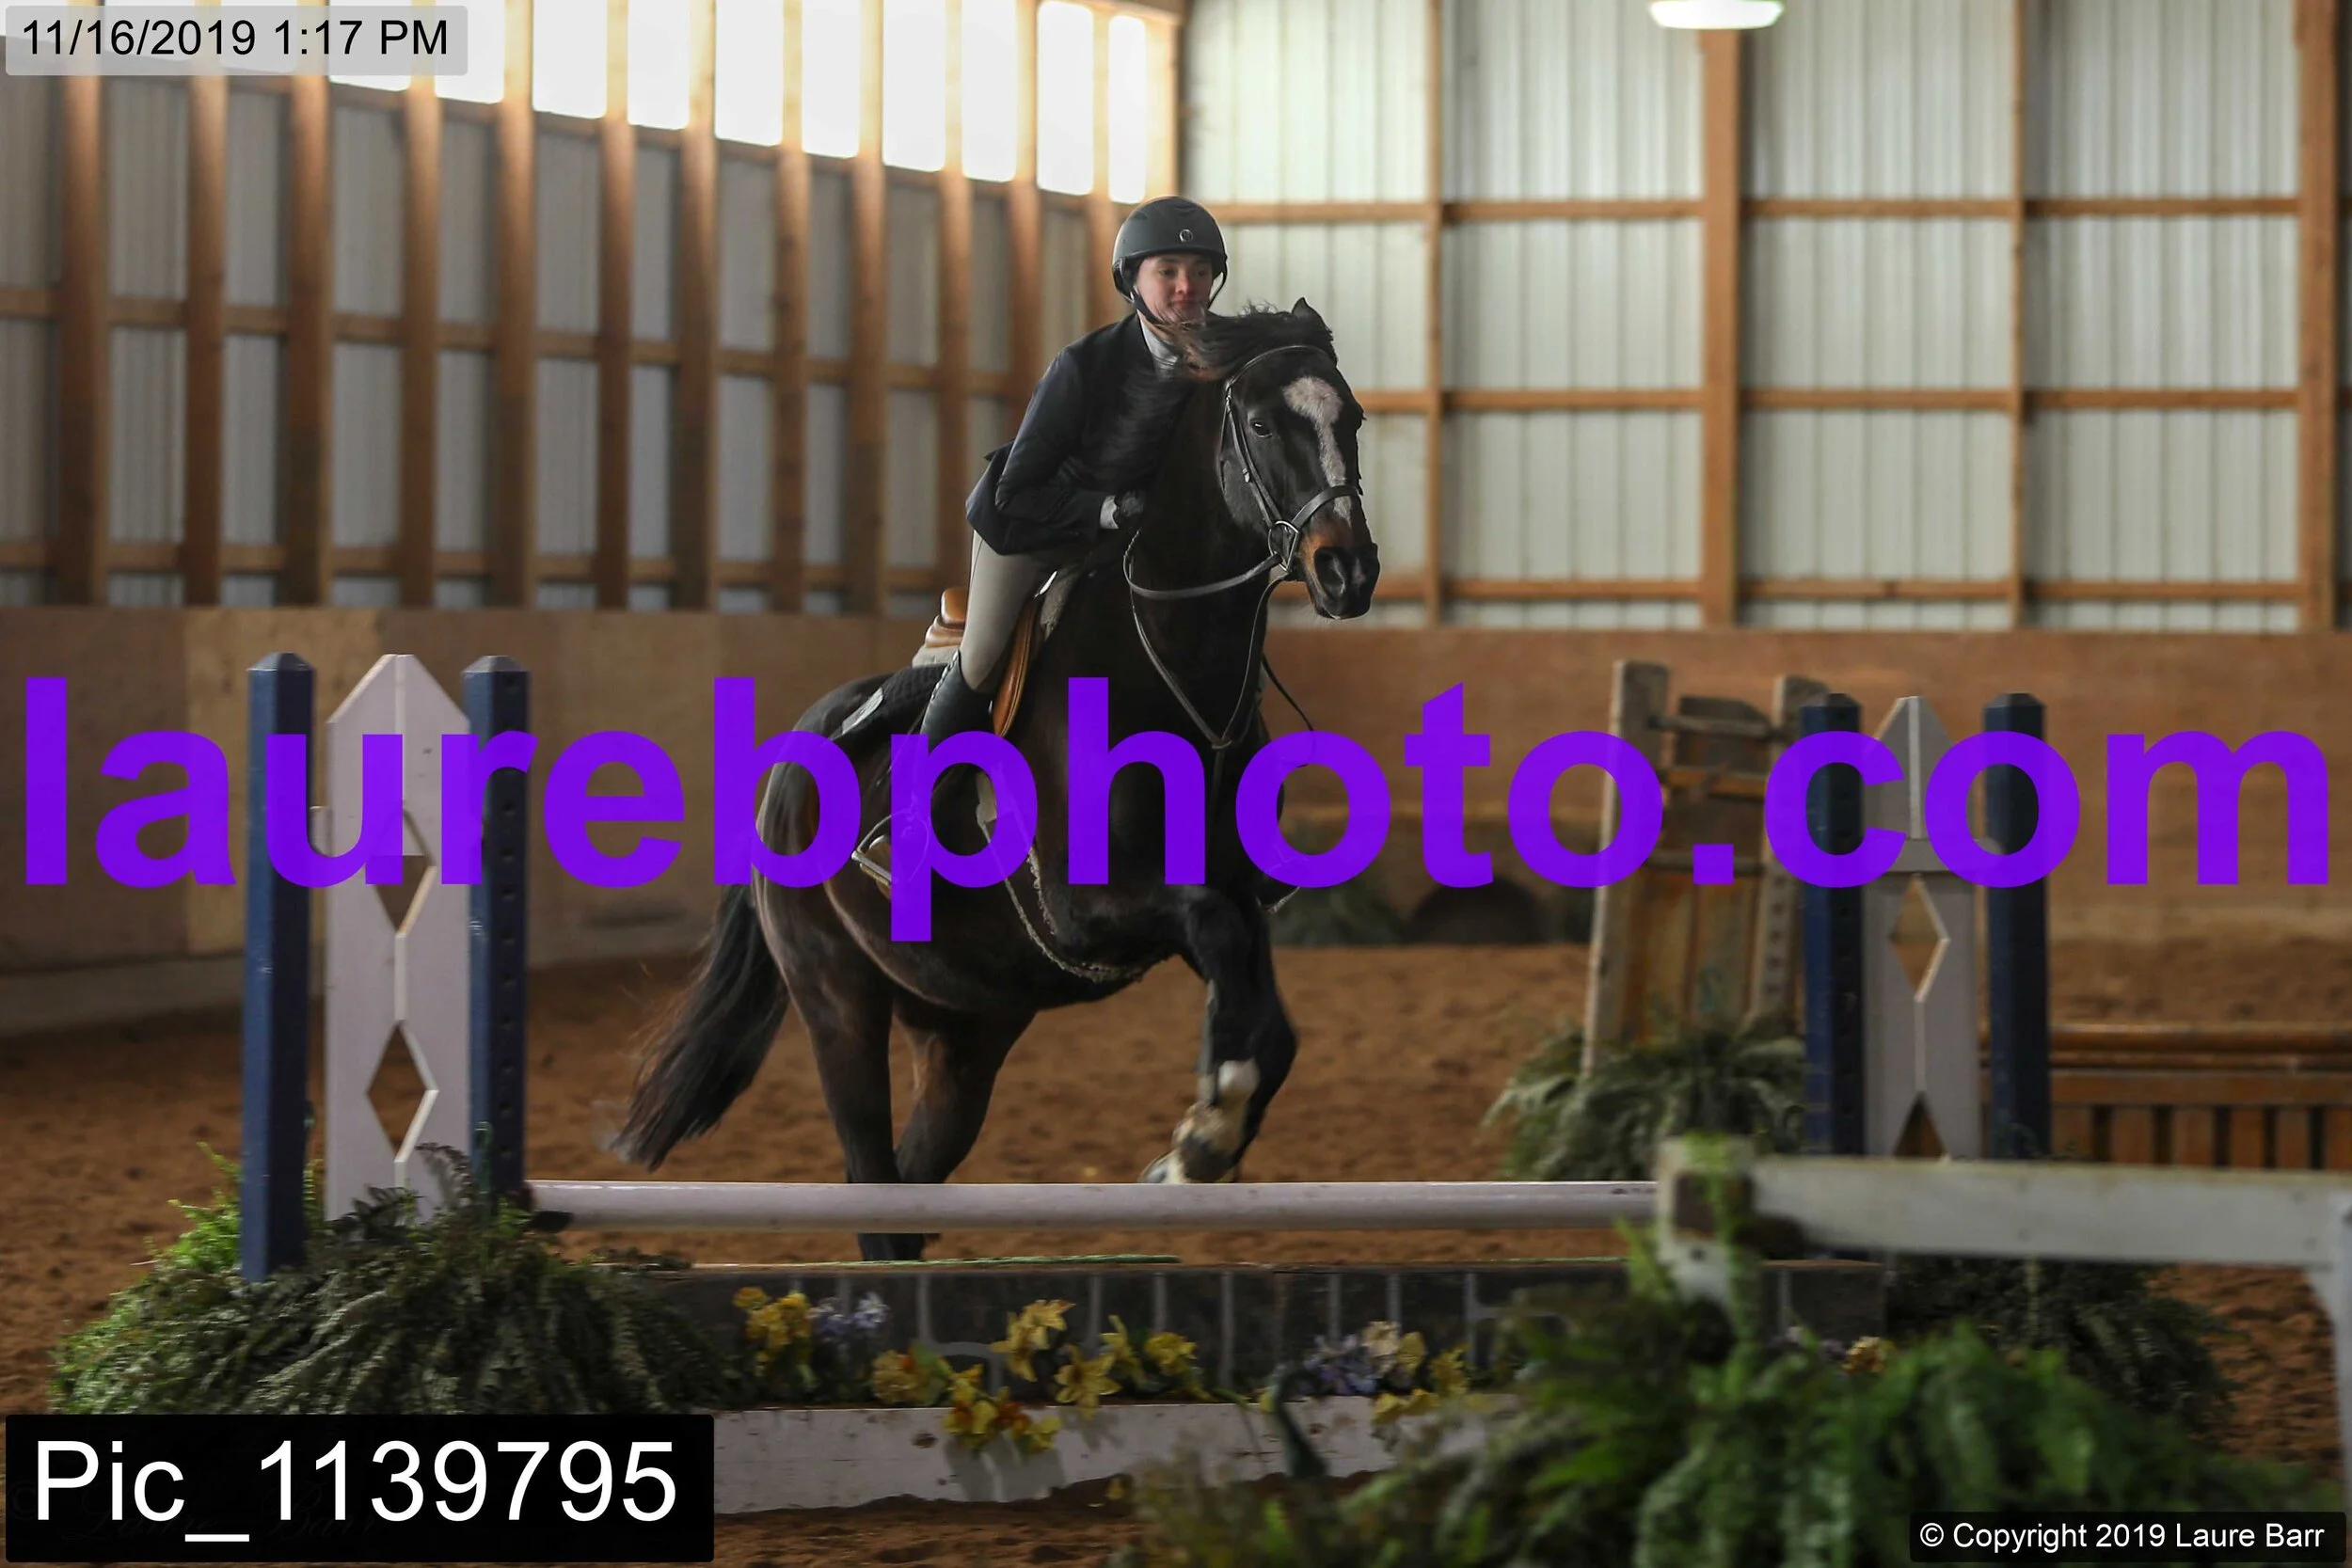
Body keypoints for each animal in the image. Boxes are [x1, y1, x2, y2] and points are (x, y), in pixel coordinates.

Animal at [609, 299, 1381, 1261]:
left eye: (1353, 419)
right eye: (1268, 424)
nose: (1348, 572)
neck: (1172, 668)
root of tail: (788, 757)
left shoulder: (1240, 896)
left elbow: (1262, 1017)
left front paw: (1200, 1139)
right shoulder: (1096, 905)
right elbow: (1211, 933)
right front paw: (1200, 1144)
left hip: (964, 1025)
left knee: (909, 1185)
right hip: (838, 1002)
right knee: (871, 1174)